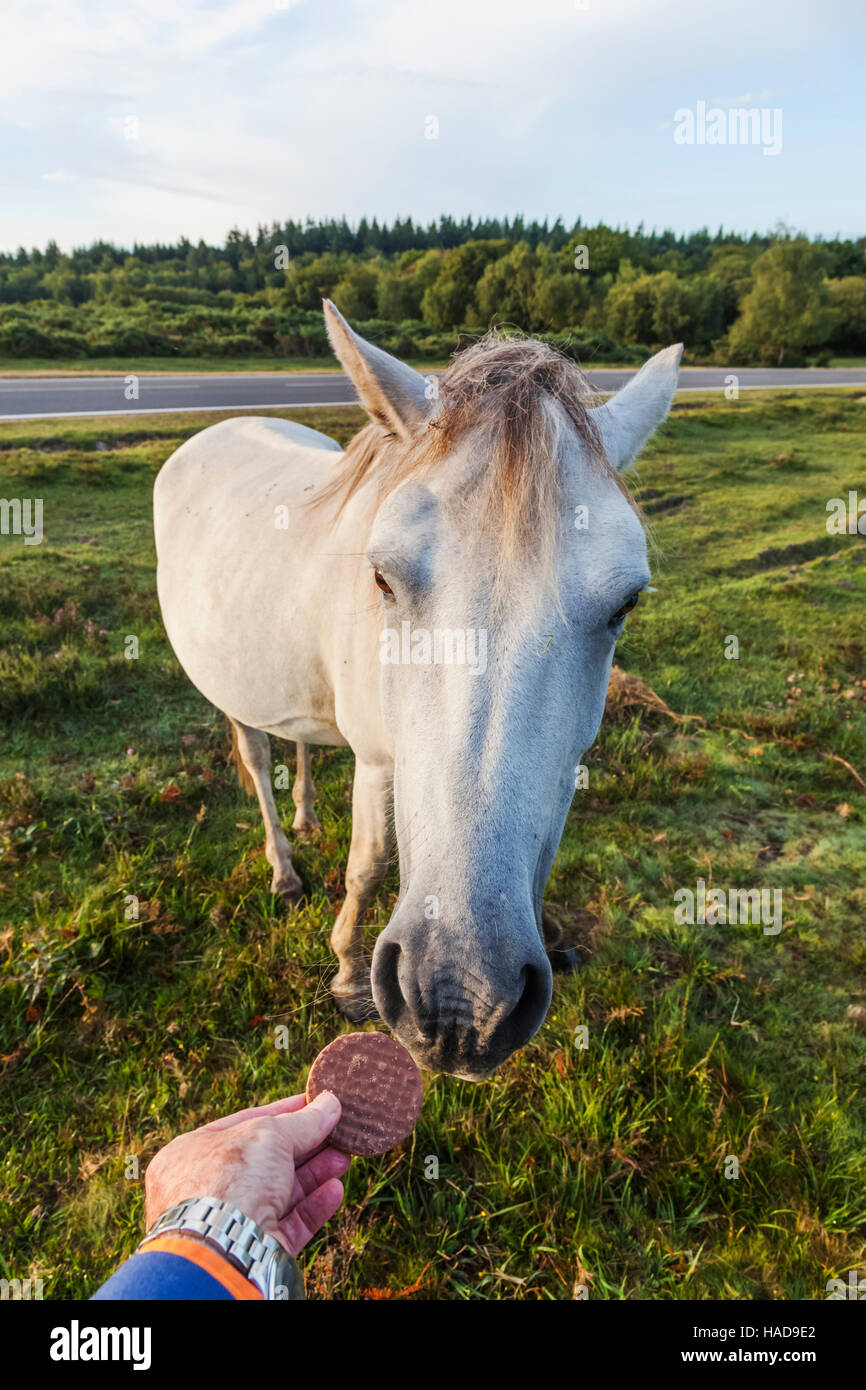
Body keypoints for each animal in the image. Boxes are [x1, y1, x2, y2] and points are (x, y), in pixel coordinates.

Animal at [157, 304, 683, 1078]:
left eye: (625, 604)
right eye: (382, 577)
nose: (461, 1001)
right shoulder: (380, 762)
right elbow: (369, 864)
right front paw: (347, 974)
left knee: (298, 745)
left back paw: (306, 817)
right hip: (231, 692)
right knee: (256, 760)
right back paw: (284, 867)